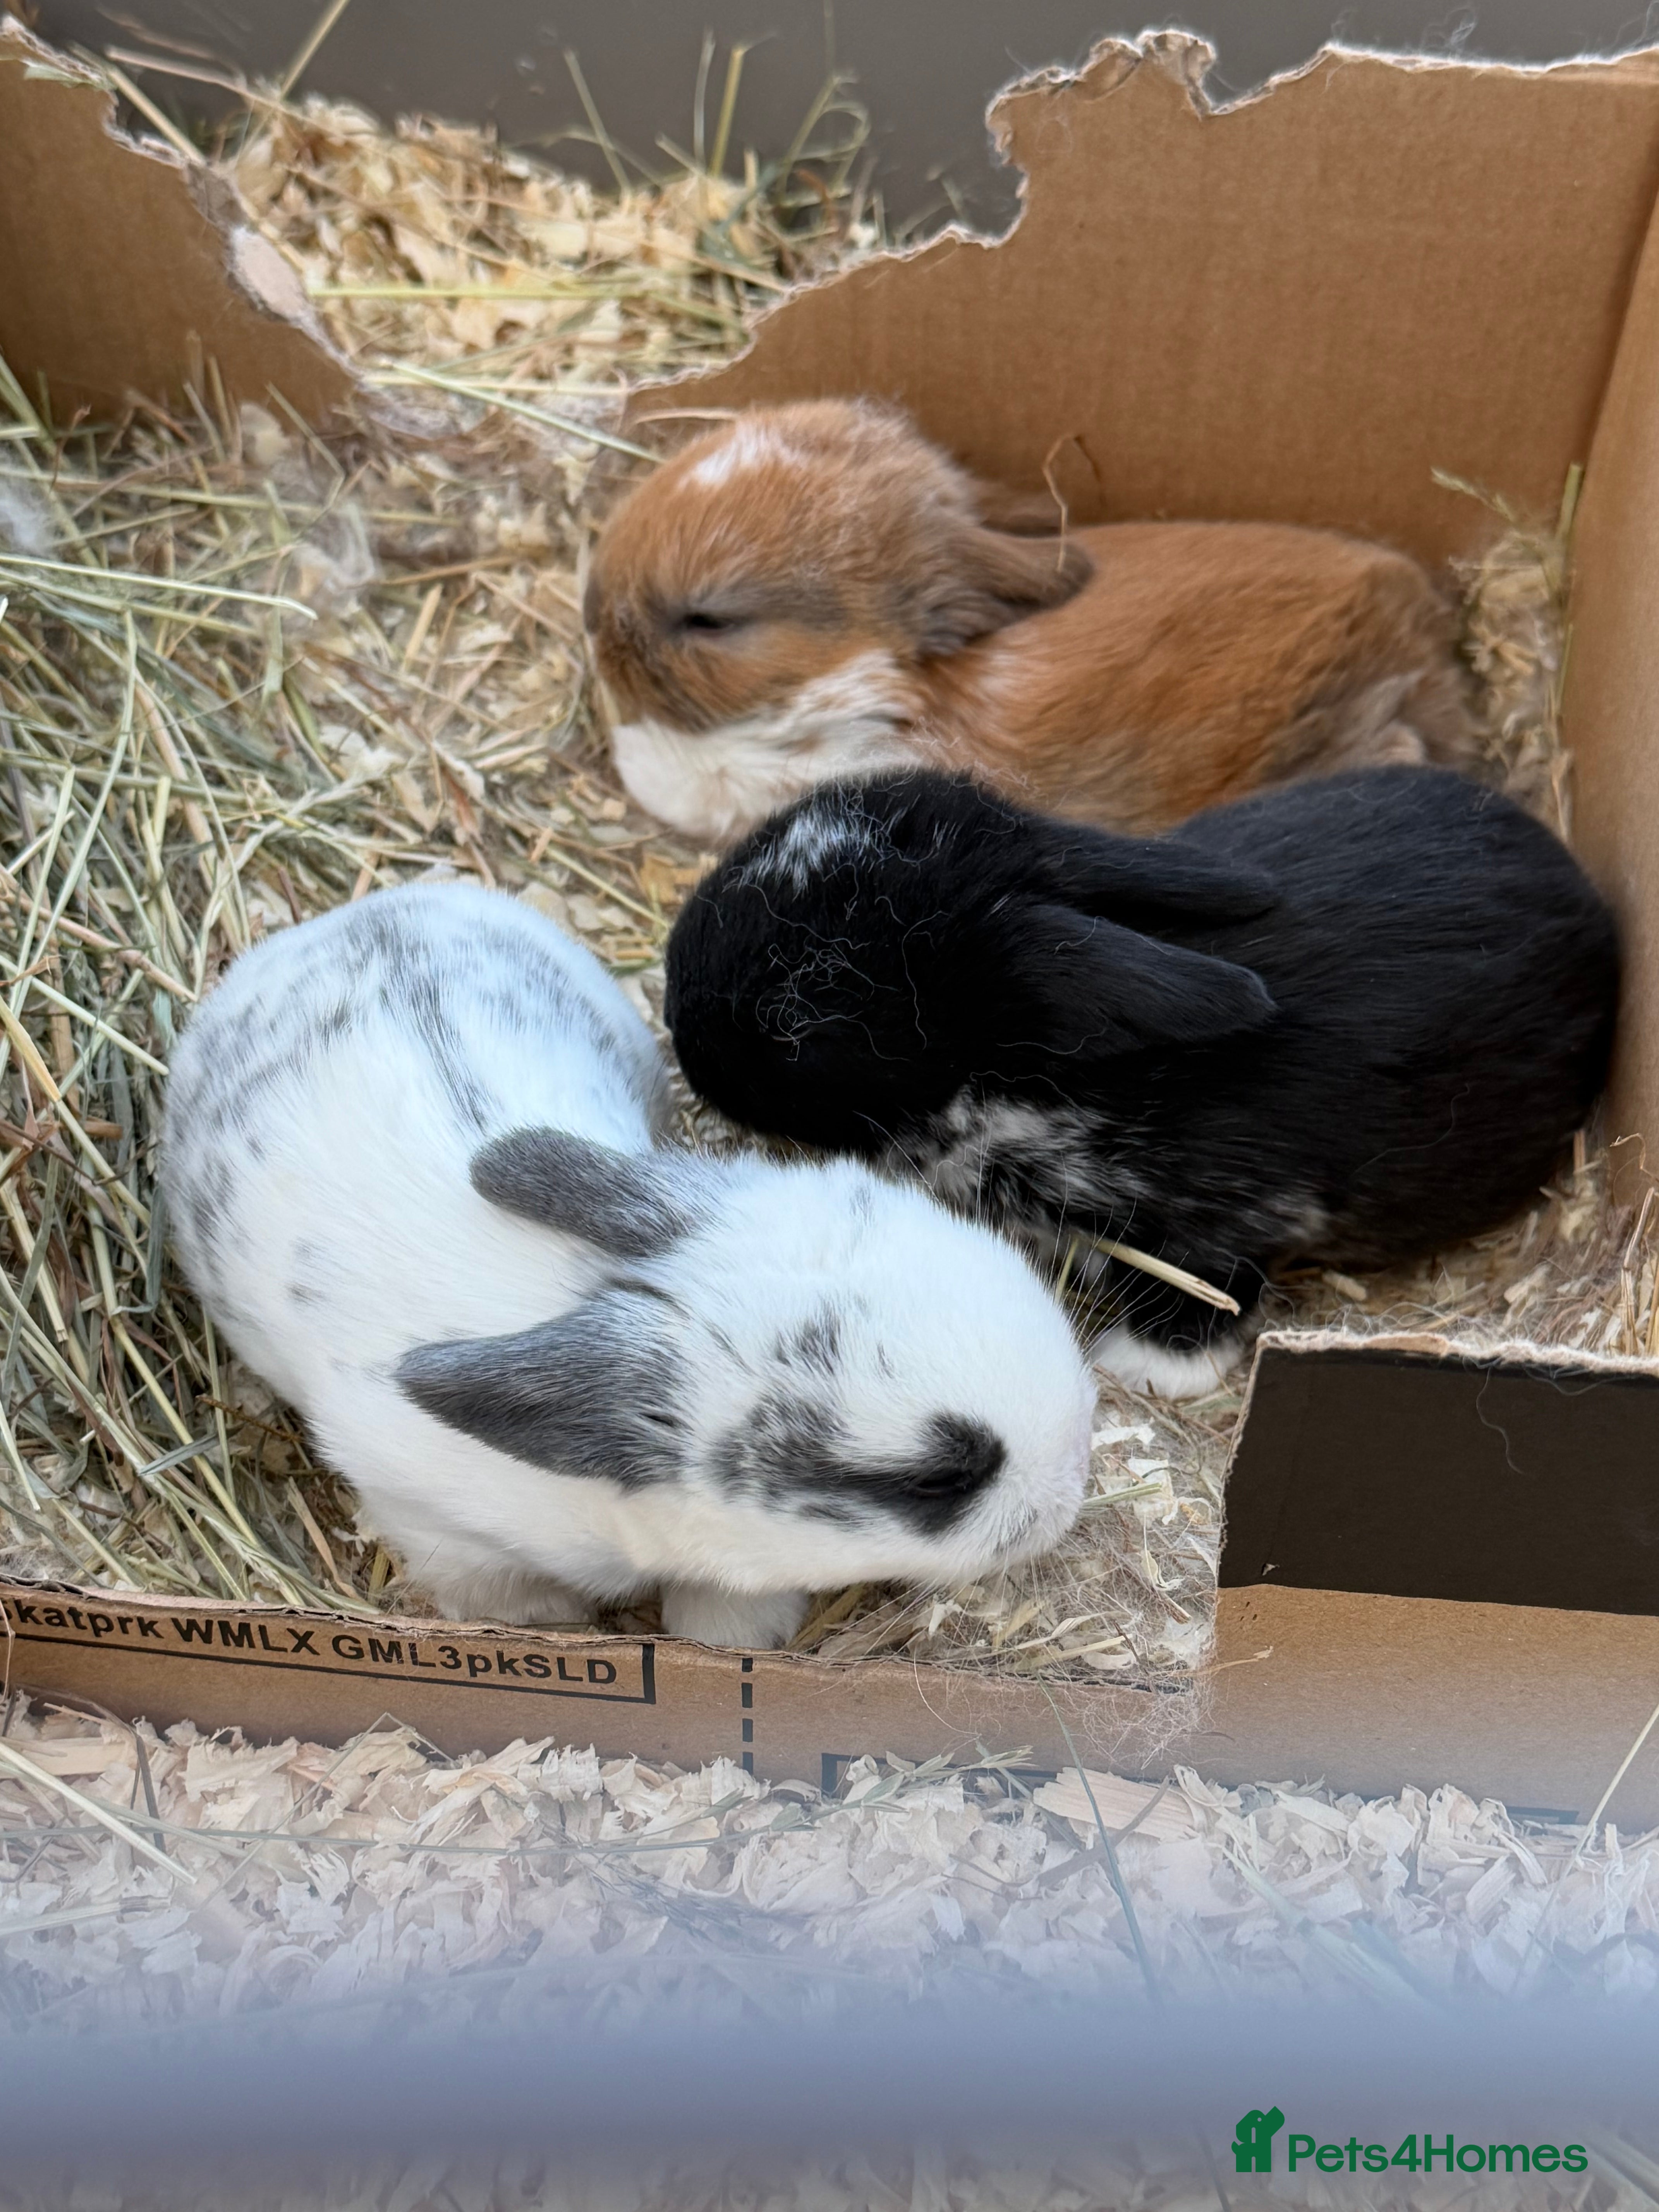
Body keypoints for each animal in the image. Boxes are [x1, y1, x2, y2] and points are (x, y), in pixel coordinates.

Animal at [664, 768, 1620, 1400]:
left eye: (796, 1017)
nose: (676, 1012)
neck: (1027, 1077)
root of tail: (1593, 909)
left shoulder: (1231, 1230)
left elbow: (1212, 1299)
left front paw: (1144, 1369)